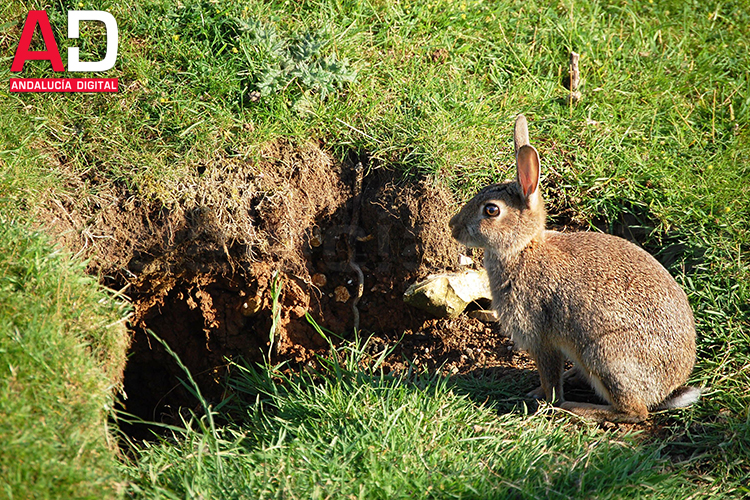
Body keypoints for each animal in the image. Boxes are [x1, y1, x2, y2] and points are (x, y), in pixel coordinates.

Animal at [450, 114, 704, 422]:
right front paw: (537, 394)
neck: (523, 249)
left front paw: (545, 400)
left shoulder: (539, 336)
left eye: (491, 210)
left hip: (605, 355)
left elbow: (549, 377)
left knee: (634, 412)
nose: (453, 226)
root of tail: (667, 389)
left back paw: (577, 407)